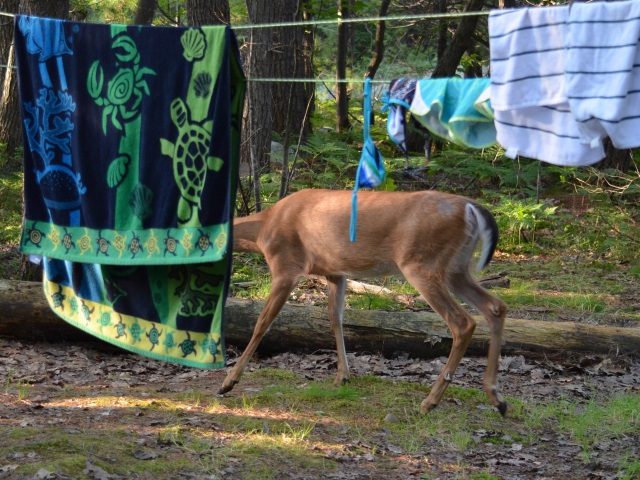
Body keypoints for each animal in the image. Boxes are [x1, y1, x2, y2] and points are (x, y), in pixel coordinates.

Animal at [220, 189, 510, 414]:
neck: (263, 229)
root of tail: (472, 207)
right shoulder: (335, 272)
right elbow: (335, 318)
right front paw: (343, 376)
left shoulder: (286, 266)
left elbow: (262, 322)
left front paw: (229, 381)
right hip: (457, 268)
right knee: (495, 307)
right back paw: (496, 397)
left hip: (422, 262)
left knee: (463, 322)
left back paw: (430, 402)